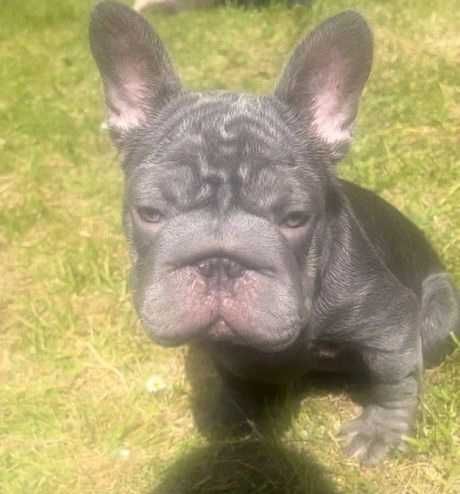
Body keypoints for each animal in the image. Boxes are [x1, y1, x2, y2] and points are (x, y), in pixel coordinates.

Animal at [89, 1, 459, 464]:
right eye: (149, 213)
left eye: (296, 219)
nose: (220, 262)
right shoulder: (225, 348)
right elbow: (235, 374)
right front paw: (234, 415)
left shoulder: (390, 325)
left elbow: (394, 380)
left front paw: (382, 432)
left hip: (440, 309)